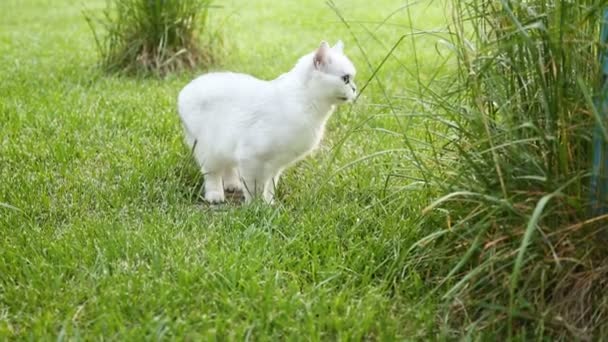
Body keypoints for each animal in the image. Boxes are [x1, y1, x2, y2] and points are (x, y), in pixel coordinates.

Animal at [176, 41, 356, 204]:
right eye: (345, 79)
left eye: (351, 79)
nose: (355, 89)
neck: (304, 101)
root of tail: (186, 89)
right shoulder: (251, 158)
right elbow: (253, 187)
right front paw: (254, 206)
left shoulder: (275, 165)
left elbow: (270, 187)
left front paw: (269, 205)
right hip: (209, 150)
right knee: (212, 175)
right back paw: (215, 196)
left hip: (225, 147)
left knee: (229, 168)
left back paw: (233, 186)